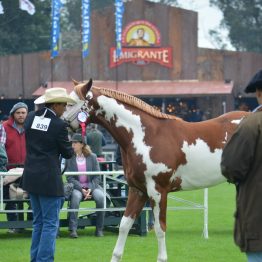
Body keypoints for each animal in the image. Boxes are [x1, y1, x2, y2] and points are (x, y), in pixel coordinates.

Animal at [62, 79, 251, 262]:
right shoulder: (137, 190)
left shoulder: (158, 191)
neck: (145, 136)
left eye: (71, 103)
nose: (62, 124)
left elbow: (160, 228)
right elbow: (124, 225)